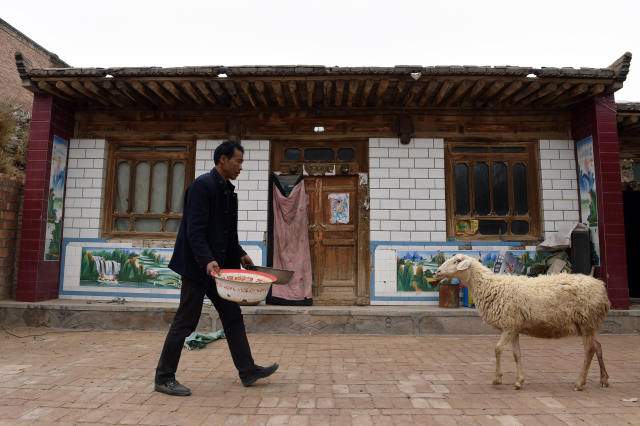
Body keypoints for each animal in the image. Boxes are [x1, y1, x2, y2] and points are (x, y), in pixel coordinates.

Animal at [436, 255, 608, 392]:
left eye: (457, 261)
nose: (437, 272)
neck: (490, 286)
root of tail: (601, 288)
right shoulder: (514, 328)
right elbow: (516, 354)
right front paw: (519, 381)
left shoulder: (508, 325)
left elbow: (497, 349)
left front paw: (497, 379)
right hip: (588, 325)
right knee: (598, 346)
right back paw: (604, 379)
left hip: (586, 322)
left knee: (590, 350)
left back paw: (580, 383)